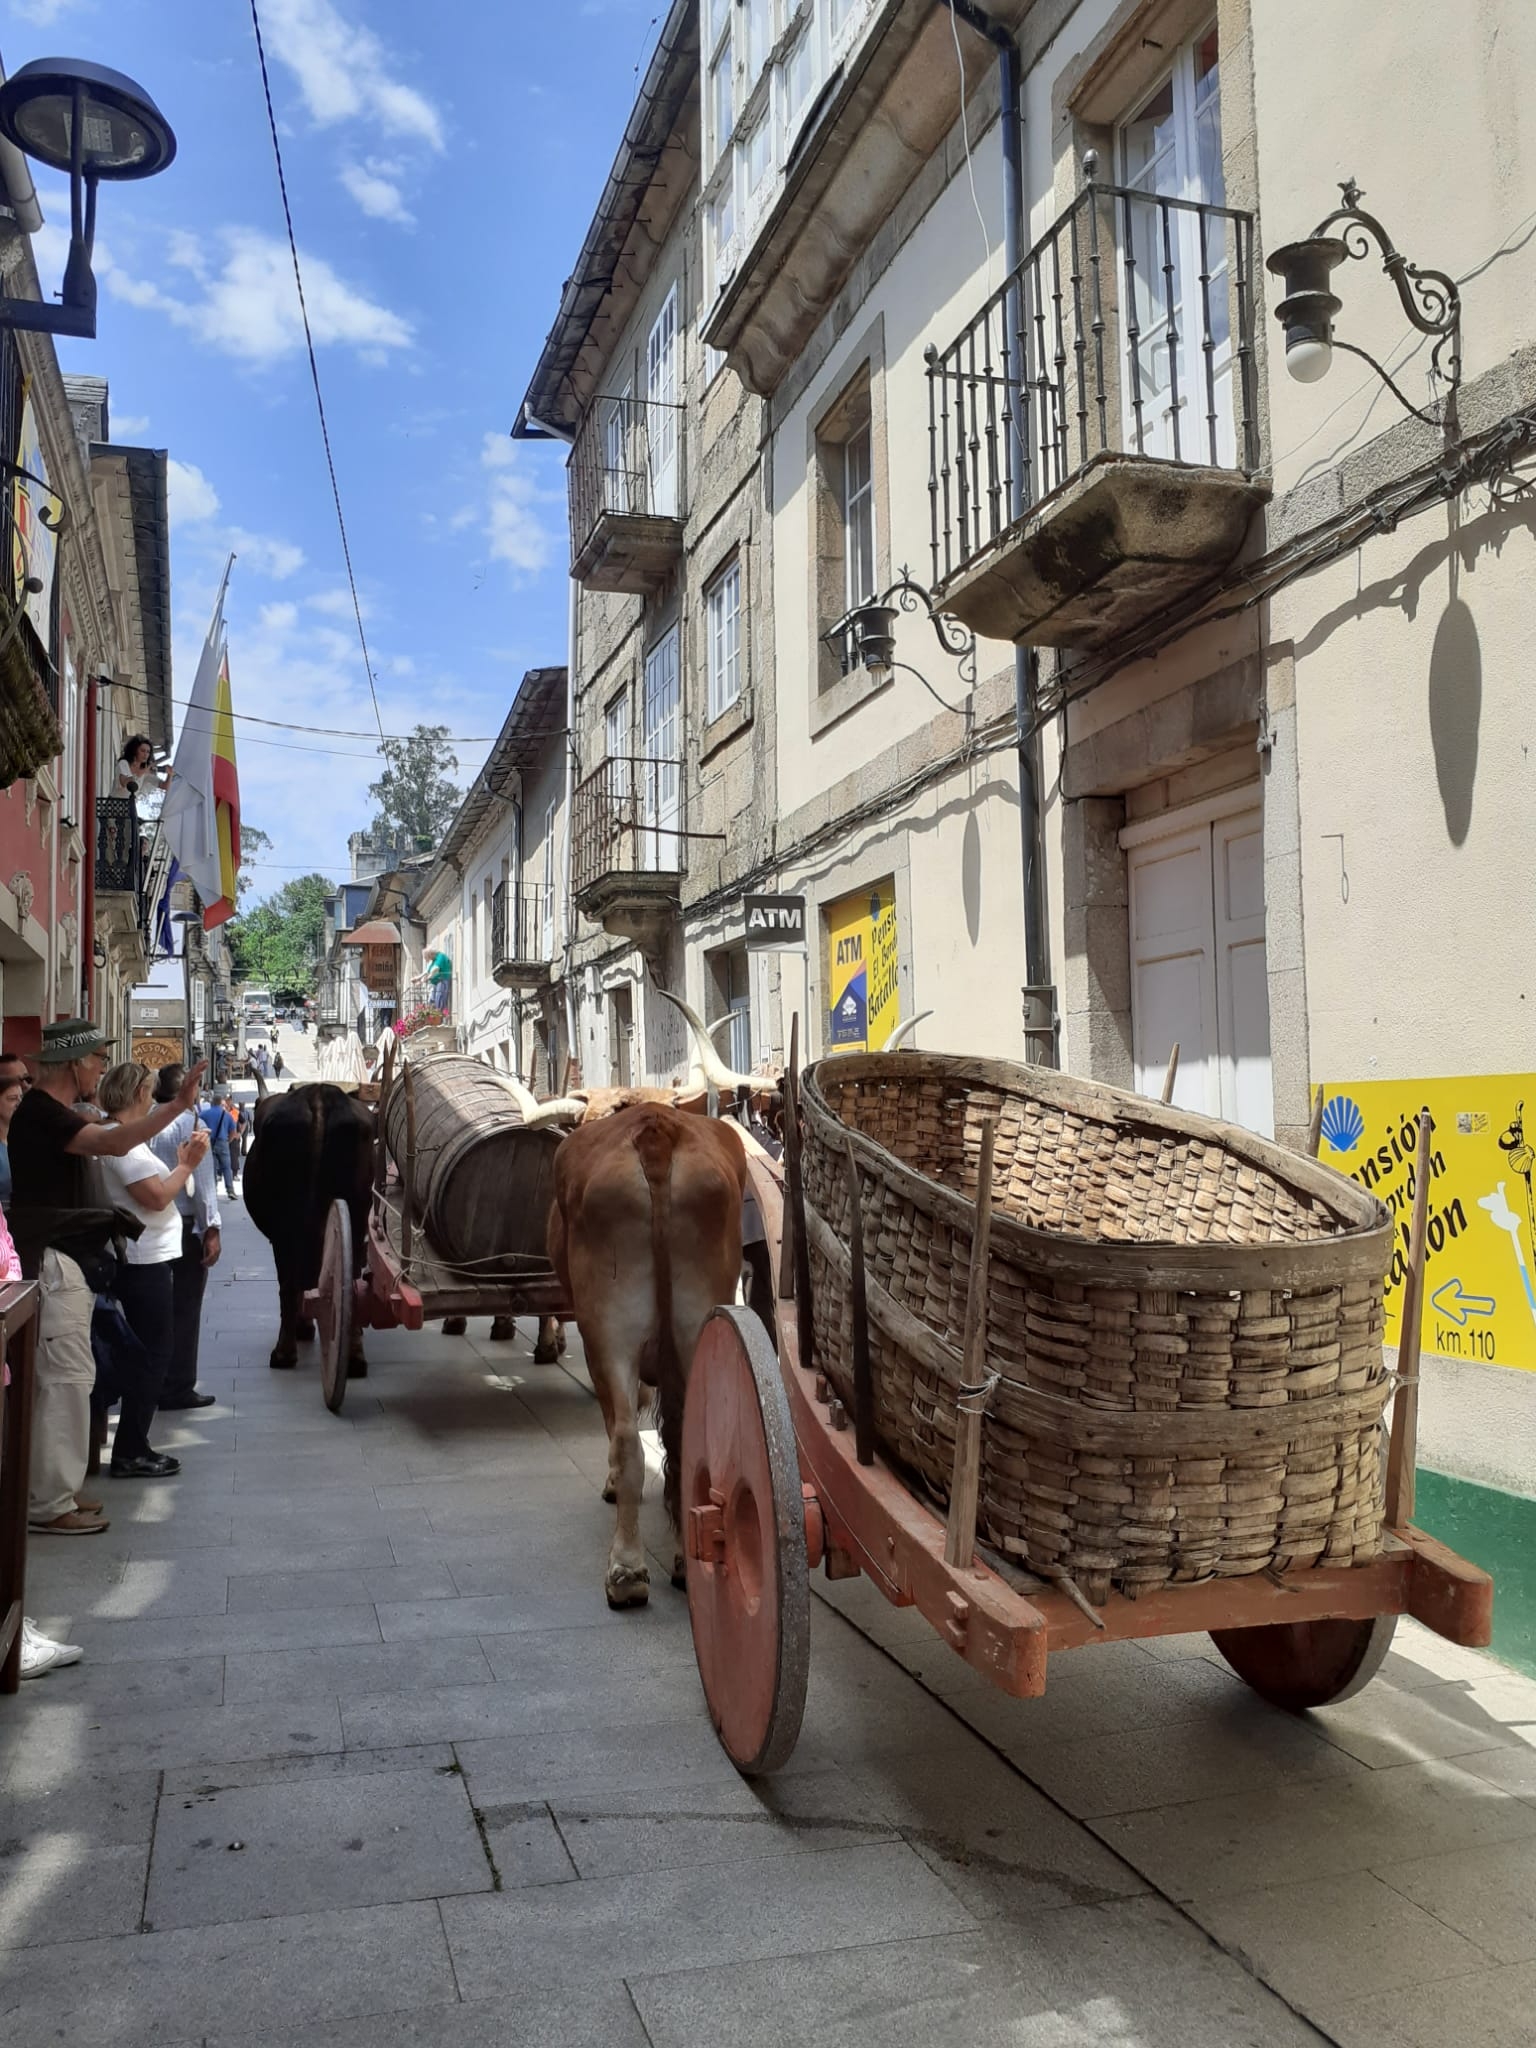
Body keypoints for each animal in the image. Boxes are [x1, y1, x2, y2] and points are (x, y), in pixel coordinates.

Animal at [243, 1081, 375, 1373]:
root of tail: (318, 1094)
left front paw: (303, 1327)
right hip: (357, 1214)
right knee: (350, 1281)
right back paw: (354, 1357)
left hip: (284, 1227)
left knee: (289, 1282)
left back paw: (284, 1353)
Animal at [548, 1103, 747, 1608]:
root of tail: (656, 1126)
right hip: (697, 1320)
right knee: (683, 1436)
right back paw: (681, 1561)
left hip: (607, 1329)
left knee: (625, 1438)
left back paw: (626, 1570)